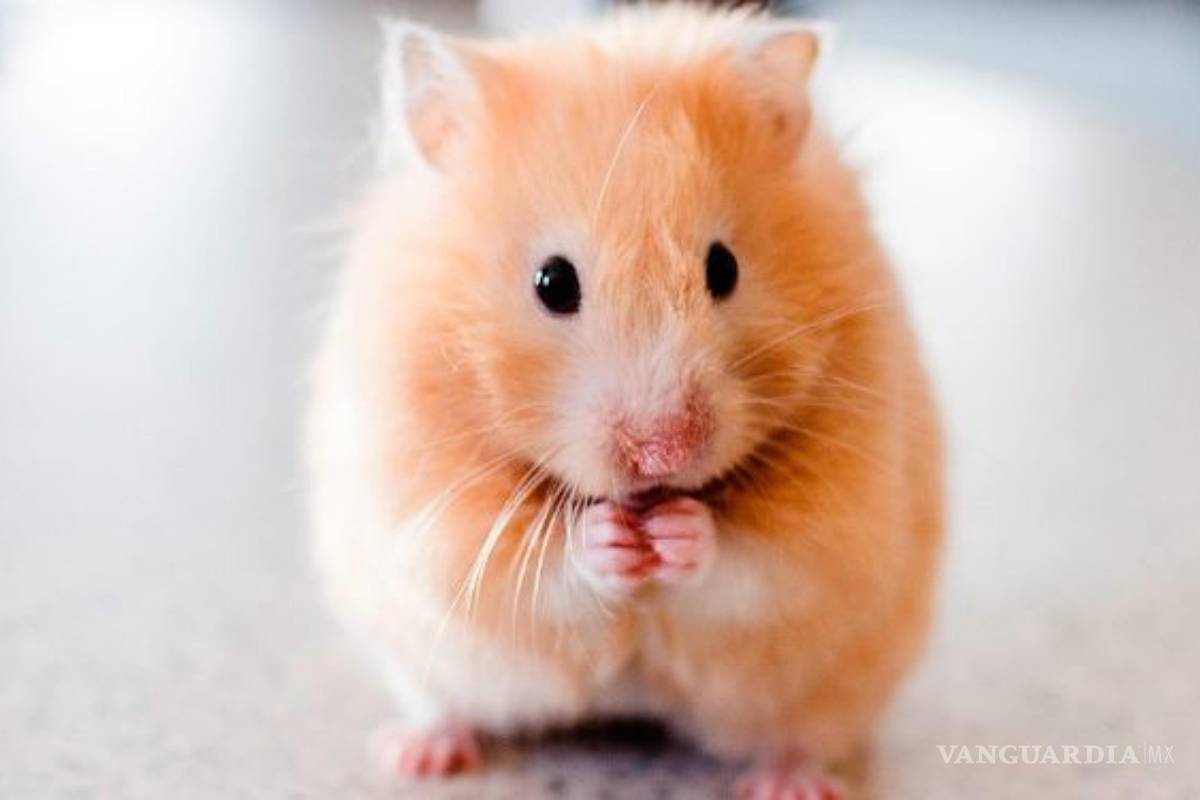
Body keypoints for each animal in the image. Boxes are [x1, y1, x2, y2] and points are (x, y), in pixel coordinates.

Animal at [307, 4, 942, 797]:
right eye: (552, 282)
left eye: (723, 268)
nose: (663, 453)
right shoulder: (429, 512)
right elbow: (535, 568)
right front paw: (610, 539)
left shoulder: (841, 523)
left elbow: (756, 564)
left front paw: (677, 532)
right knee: (445, 703)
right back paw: (417, 754)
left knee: (802, 735)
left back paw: (789, 783)